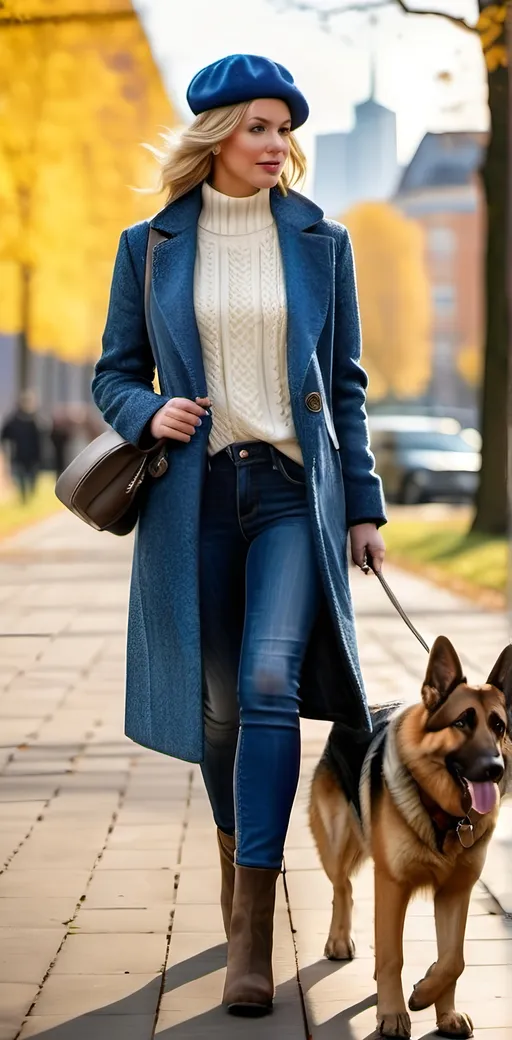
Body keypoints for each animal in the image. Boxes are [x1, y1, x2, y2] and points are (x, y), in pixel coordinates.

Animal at [308, 636, 511, 1035]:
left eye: (498, 726)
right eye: (462, 722)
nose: (494, 769)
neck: (446, 817)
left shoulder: (456, 892)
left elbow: (454, 959)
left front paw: (436, 1003)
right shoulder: (393, 885)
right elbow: (392, 956)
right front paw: (393, 1013)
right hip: (337, 843)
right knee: (343, 887)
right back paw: (339, 940)